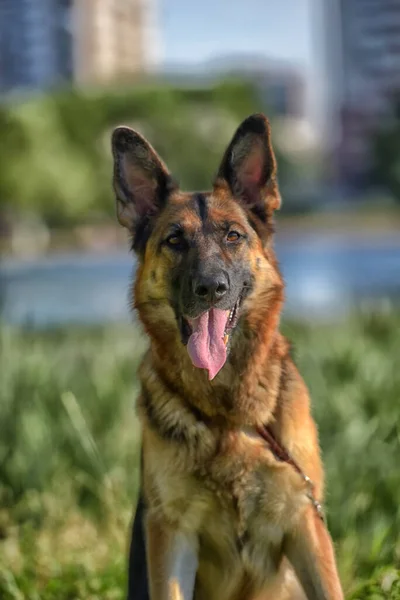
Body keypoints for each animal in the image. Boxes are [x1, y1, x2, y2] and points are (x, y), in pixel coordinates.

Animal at [111, 113, 342, 600]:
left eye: (233, 236)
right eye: (174, 240)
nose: (211, 287)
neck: (227, 413)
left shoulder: (305, 521)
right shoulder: (170, 533)